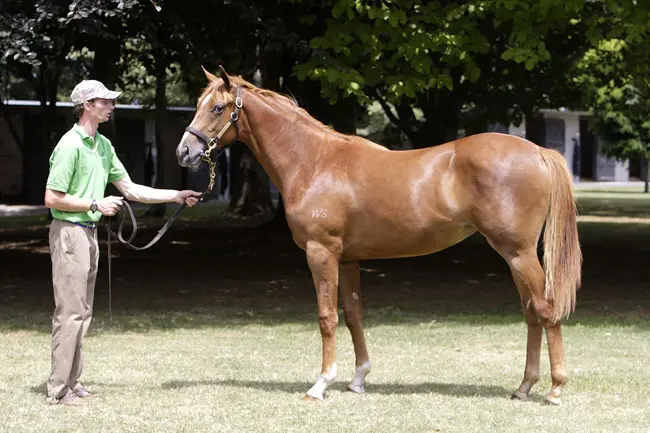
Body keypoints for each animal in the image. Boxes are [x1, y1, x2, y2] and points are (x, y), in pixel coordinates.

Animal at [176, 66, 582, 405]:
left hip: (519, 253)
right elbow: (354, 314)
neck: (314, 162)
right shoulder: (348, 258)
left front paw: (320, 384)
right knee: (531, 313)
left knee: (545, 309)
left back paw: (555, 389)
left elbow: (327, 317)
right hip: (515, 256)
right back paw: (524, 386)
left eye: (217, 108)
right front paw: (358, 379)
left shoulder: (321, 253)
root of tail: (538, 151)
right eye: (198, 105)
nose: (184, 151)